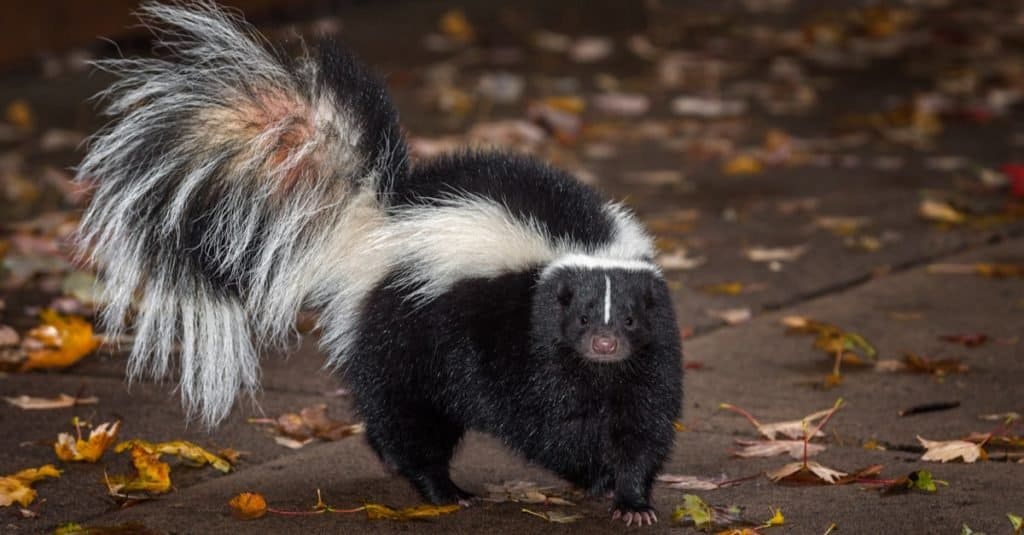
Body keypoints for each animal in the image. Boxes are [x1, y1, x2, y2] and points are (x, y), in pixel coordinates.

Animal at [77, 1, 679, 524]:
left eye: (628, 318)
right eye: (581, 316)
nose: (604, 343)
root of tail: (376, 220)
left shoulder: (649, 352)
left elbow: (644, 419)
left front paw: (631, 498)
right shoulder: (518, 341)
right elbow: (541, 420)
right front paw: (594, 474)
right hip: (407, 330)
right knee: (408, 416)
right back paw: (443, 488)